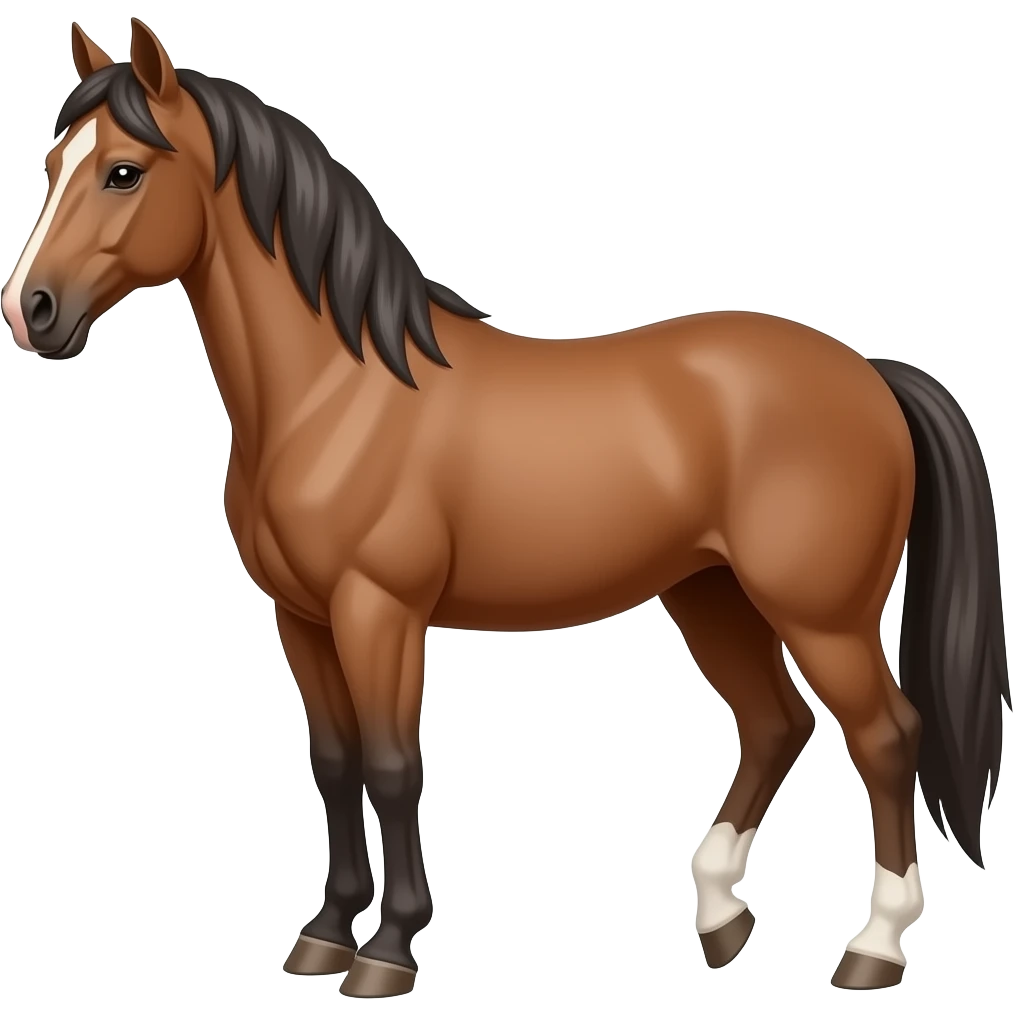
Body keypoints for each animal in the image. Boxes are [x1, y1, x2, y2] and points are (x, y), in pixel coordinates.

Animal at [3, 17, 1009, 998]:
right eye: (53, 164)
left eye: (124, 171)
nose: (30, 311)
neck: (337, 391)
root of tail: (868, 375)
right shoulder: (303, 617)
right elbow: (334, 764)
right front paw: (325, 932)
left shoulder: (380, 611)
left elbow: (392, 766)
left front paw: (388, 949)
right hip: (711, 594)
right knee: (775, 726)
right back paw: (721, 918)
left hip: (819, 615)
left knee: (885, 738)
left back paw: (873, 947)